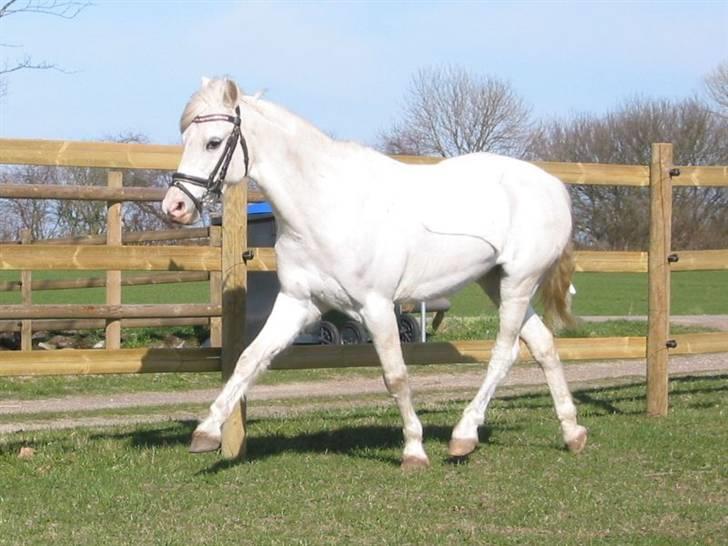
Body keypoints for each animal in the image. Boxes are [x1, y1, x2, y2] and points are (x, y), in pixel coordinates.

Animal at [162, 77, 587, 468]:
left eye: (213, 142)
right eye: (186, 138)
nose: (175, 206)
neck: (325, 205)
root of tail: (553, 185)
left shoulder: (376, 306)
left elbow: (395, 376)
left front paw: (414, 451)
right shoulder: (299, 303)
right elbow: (249, 359)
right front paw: (206, 432)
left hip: (518, 282)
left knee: (505, 352)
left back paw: (463, 436)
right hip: (495, 282)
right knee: (543, 346)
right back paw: (572, 433)